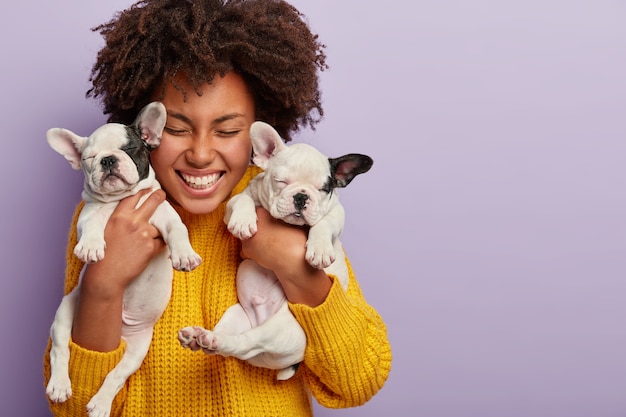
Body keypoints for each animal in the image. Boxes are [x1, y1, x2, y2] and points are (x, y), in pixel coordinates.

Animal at [177, 121, 370, 380]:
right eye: (281, 181)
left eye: (323, 188)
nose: (301, 196)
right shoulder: (239, 199)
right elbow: (242, 201)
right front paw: (243, 222)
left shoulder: (337, 212)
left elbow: (324, 223)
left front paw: (319, 250)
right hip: (235, 315)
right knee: (232, 343)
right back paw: (202, 337)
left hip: (281, 331)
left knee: (247, 342)